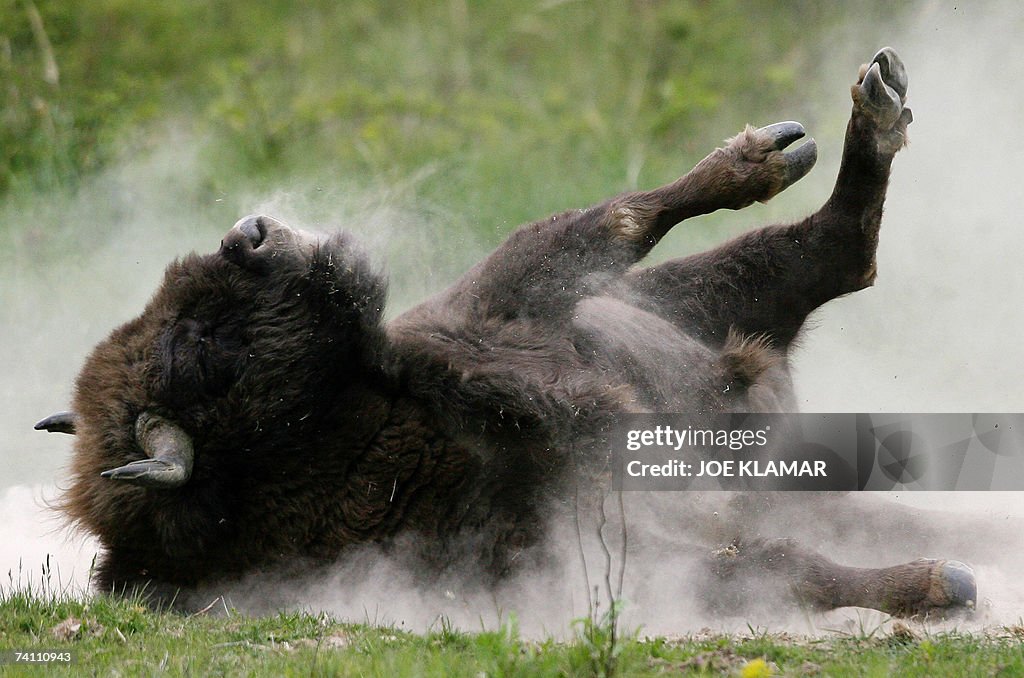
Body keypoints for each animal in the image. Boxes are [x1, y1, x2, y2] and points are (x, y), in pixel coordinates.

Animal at [36, 49, 974, 622]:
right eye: (198, 349)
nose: (253, 232)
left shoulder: (503, 314)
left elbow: (611, 219)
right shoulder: (598, 533)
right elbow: (772, 569)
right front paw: (938, 583)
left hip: (693, 298)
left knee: (832, 254)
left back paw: (844, 121)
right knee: (841, 257)